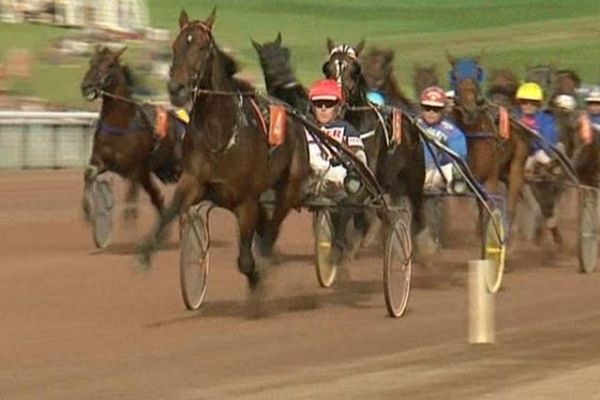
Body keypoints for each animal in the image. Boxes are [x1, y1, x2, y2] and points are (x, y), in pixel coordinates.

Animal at [81, 45, 182, 227]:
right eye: (91, 62)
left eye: (110, 65)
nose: (87, 87)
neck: (120, 124)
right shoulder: (103, 162)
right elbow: (88, 174)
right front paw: (87, 210)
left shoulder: (134, 170)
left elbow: (130, 203)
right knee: (157, 198)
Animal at [139, 7, 310, 286]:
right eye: (175, 46)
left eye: (201, 47)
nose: (176, 89)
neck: (220, 131)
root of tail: (293, 114)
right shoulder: (194, 180)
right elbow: (171, 210)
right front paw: (146, 252)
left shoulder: (247, 200)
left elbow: (245, 260)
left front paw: (257, 278)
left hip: (290, 185)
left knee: (273, 225)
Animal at [324, 38, 426, 250]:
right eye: (328, 69)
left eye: (354, 69)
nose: (336, 103)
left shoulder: (365, 180)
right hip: (392, 184)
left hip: (414, 178)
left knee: (417, 218)